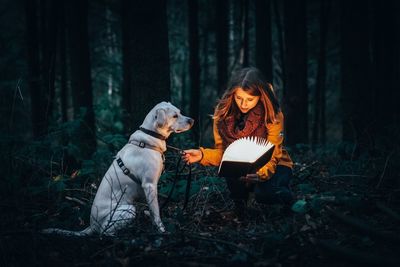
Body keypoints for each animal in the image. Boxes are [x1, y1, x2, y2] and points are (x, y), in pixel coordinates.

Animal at [43, 102, 194, 237]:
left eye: (180, 112)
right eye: (175, 116)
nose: (192, 120)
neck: (150, 136)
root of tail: (92, 225)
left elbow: (152, 210)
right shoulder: (149, 185)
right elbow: (156, 212)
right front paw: (161, 230)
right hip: (128, 210)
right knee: (104, 232)